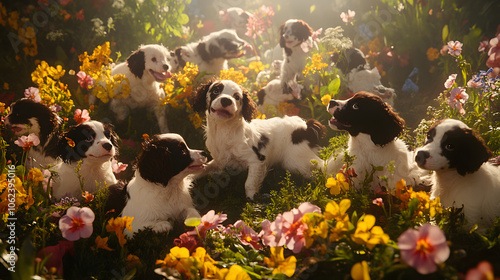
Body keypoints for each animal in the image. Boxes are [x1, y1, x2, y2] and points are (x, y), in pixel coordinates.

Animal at [193, 80, 326, 200]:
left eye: (237, 97)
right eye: (216, 91)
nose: (226, 100)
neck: (224, 130)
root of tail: (305, 127)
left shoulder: (257, 160)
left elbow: (249, 184)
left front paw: (252, 202)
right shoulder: (219, 161)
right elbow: (202, 169)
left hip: (295, 161)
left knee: (320, 168)